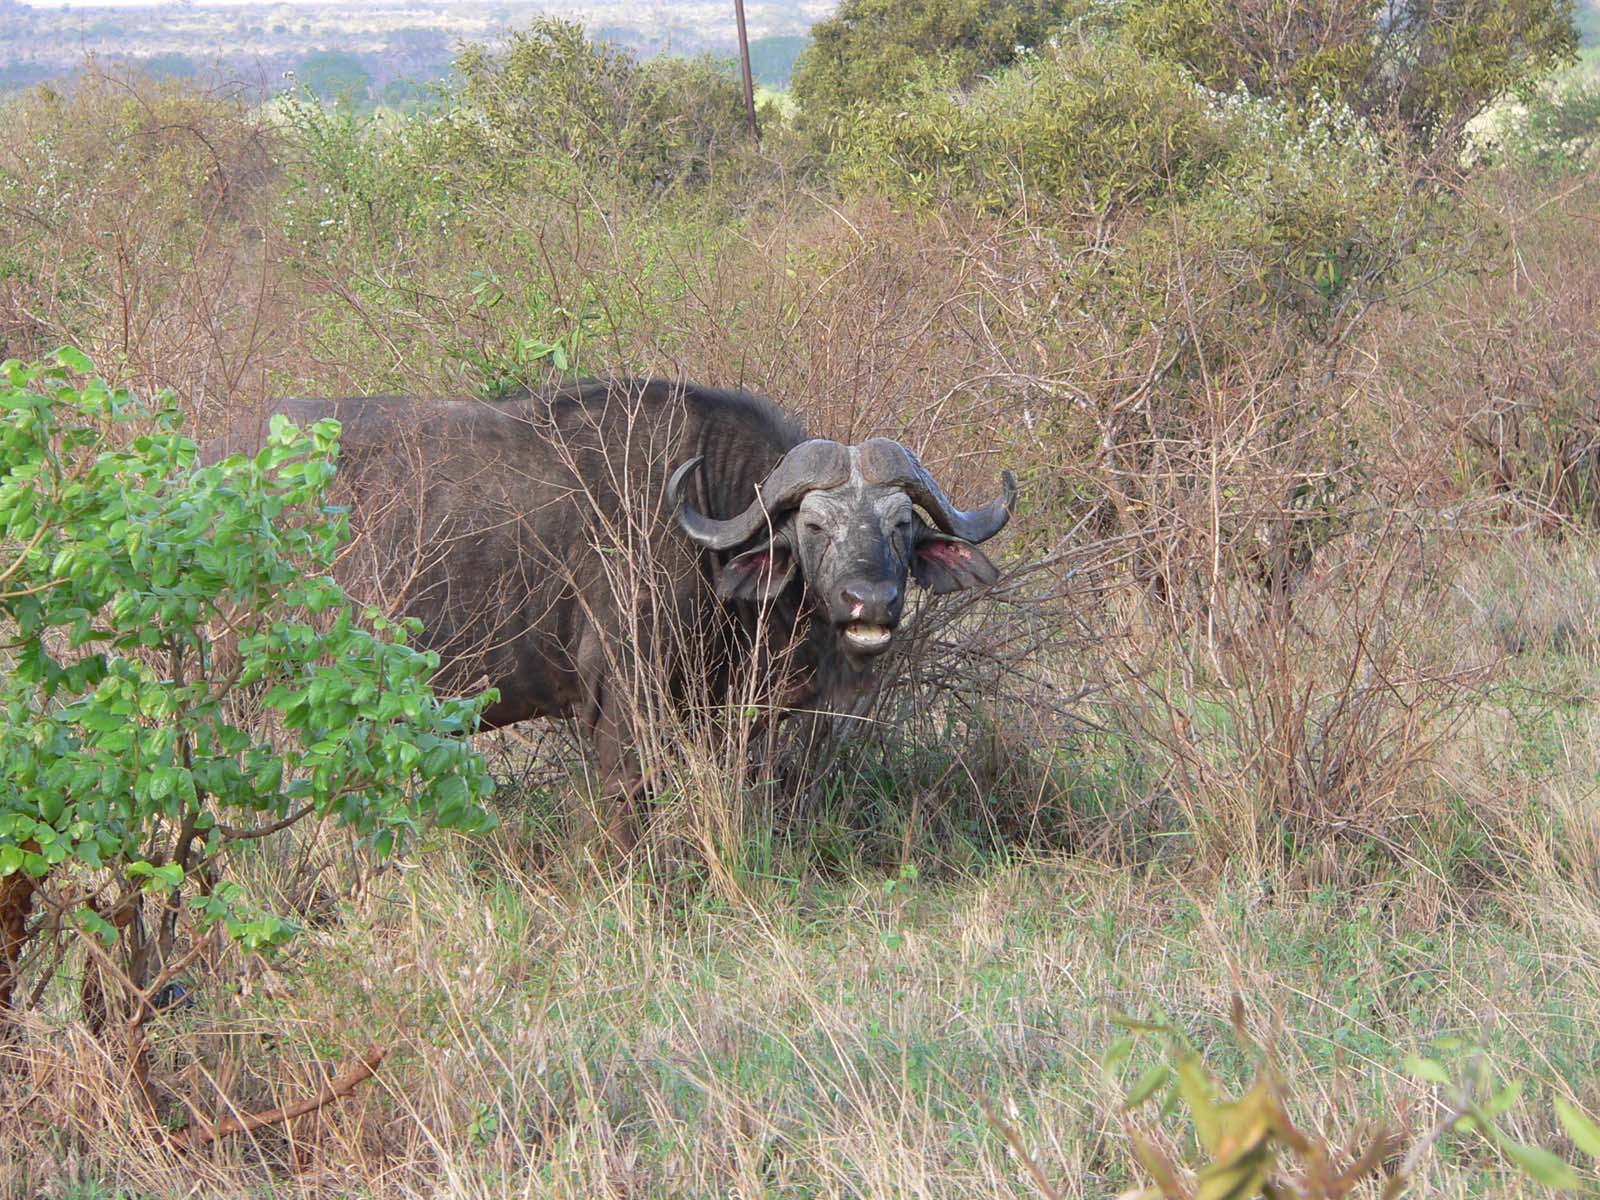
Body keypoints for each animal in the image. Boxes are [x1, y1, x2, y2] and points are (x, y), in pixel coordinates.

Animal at [216, 382, 1011, 844]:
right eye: (814, 526)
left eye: (900, 524)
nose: (869, 601)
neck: (708, 527)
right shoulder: (624, 703)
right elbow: (627, 809)